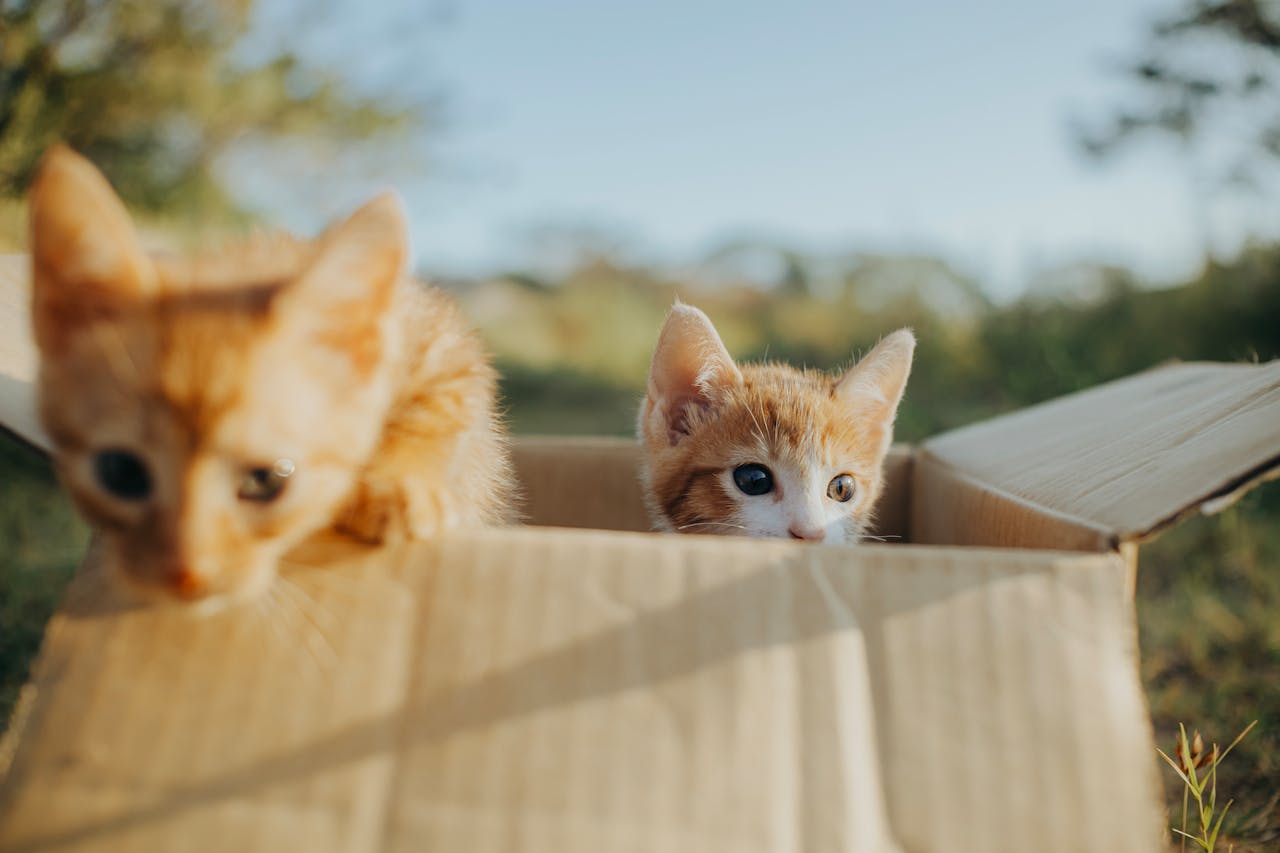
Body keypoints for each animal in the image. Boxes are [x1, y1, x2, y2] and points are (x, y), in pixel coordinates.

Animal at [30, 146, 509, 601]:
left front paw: (396, 485)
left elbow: (431, 411)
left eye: (266, 479)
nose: (186, 576)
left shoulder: (446, 349)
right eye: (121, 473)